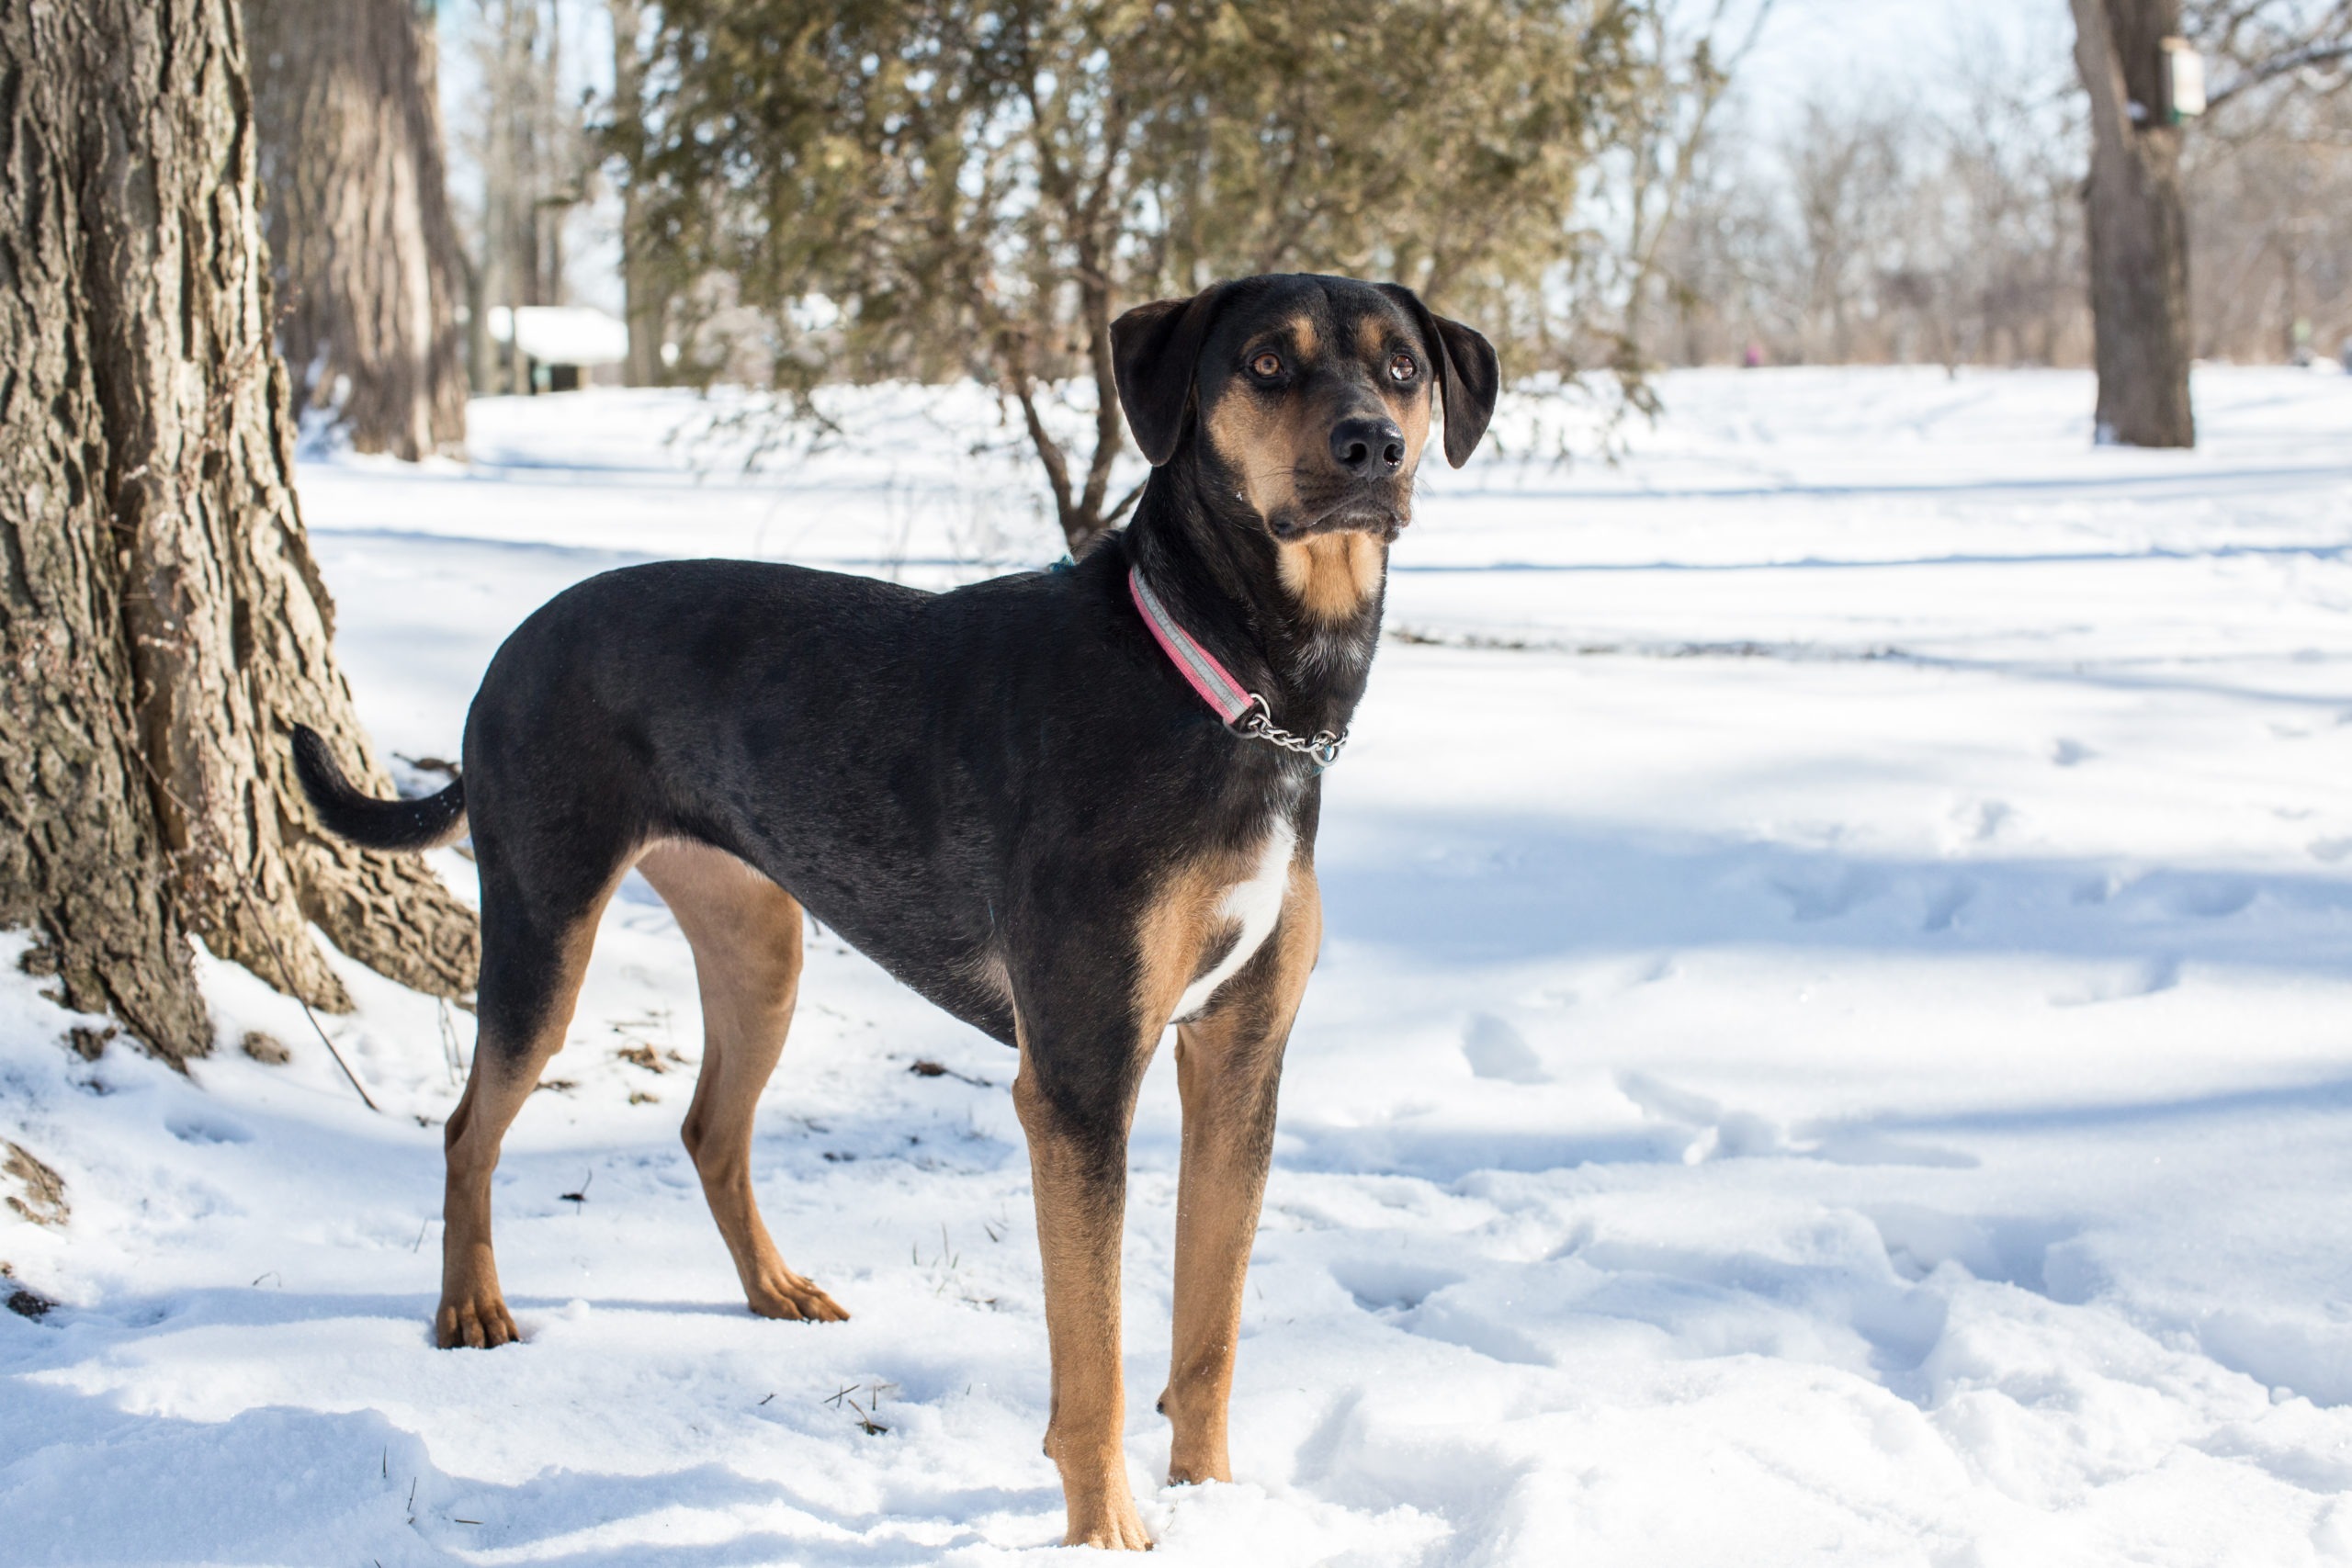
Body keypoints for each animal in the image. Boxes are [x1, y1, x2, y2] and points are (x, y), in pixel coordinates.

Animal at [299, 272, 1486, 1541]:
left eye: (1403, 368)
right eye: (1266, 363)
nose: (1372, 445)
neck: (1226, 688)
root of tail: (515, 642)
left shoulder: (1240, 1061)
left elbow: (1208, 1336)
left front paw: (1214, 1503)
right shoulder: (1079, 1081)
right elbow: (1097, 1358)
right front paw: (1105, 1534)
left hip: (760, 946)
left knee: (708, 1129)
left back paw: (774, 1289)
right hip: (544, 925)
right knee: (469, 1128)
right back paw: (470, 1308)